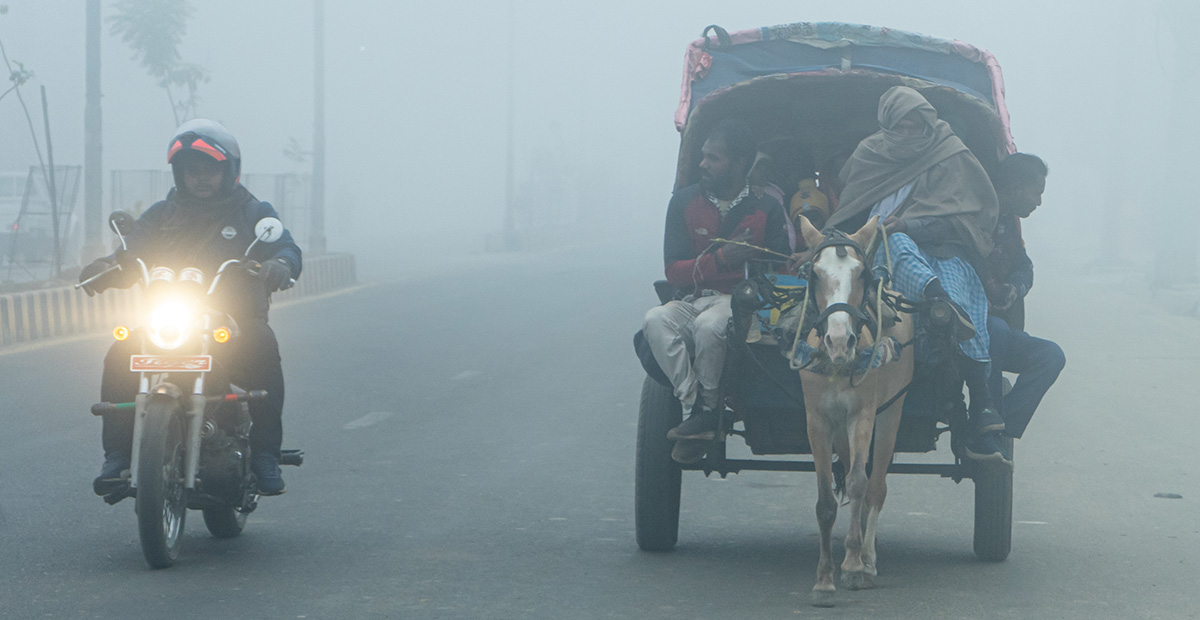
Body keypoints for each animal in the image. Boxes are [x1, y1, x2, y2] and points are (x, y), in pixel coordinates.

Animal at [801, 215, 912, 604]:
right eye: (815, 273)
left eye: (862, 273)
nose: (839, 341)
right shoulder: (818, 421)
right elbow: (825, 501)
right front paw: (823, 580)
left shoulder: (863, 414)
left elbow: (860, 483)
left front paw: (851, 566)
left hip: (892, 408)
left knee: (874, 485)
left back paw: (867, 558)